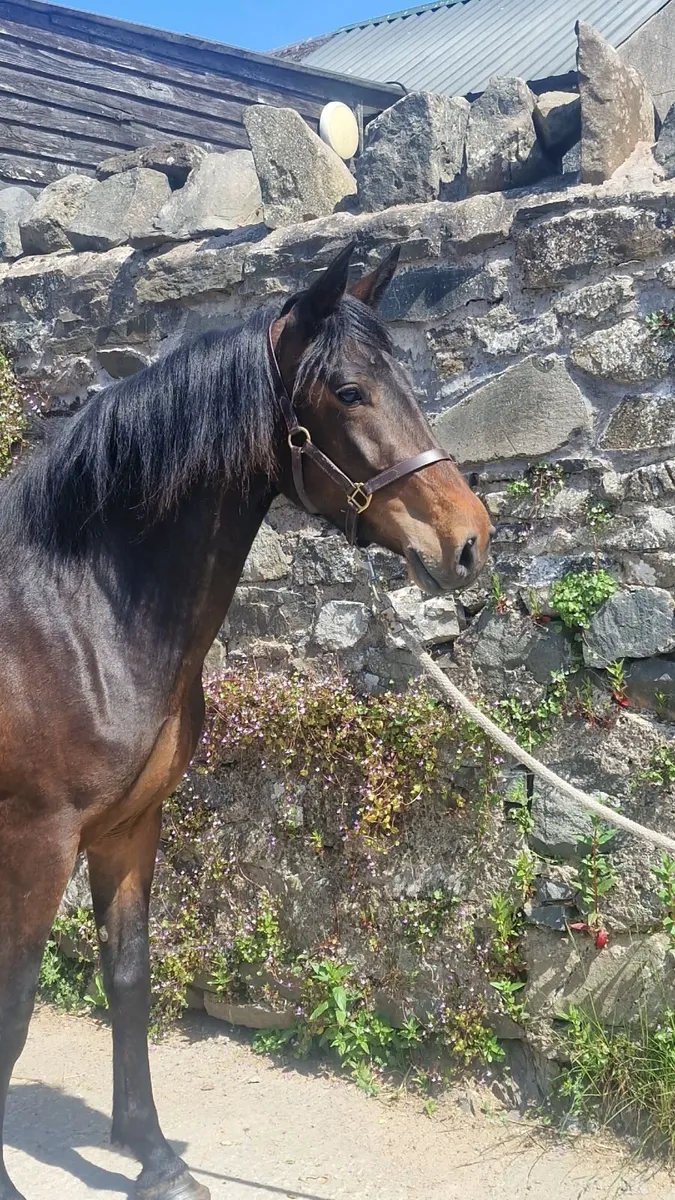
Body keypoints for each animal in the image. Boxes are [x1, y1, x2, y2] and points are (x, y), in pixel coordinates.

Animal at [0, 240, 491, 1200]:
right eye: (349, 392)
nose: (468, 541)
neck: (74, 613)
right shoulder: (37, 841)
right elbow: (16, 1006)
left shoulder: (130, 827)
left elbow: (128, 977)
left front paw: (154, 1159)